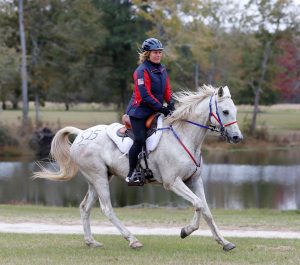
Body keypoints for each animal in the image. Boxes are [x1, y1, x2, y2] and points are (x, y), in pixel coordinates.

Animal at [34, 84, 243, 250]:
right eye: (225, 112)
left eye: (234, 111)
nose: (237, 138)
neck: (184, 136)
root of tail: (82, 134)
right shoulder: (173, 182)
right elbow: (198, 204)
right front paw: (186, 230)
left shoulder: (194, 180)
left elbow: (206, 210)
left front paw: (224, 242)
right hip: (98, 177)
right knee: (107, 208)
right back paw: (132, 240)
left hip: (98, 178)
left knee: (85, 207)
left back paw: (91, 241)